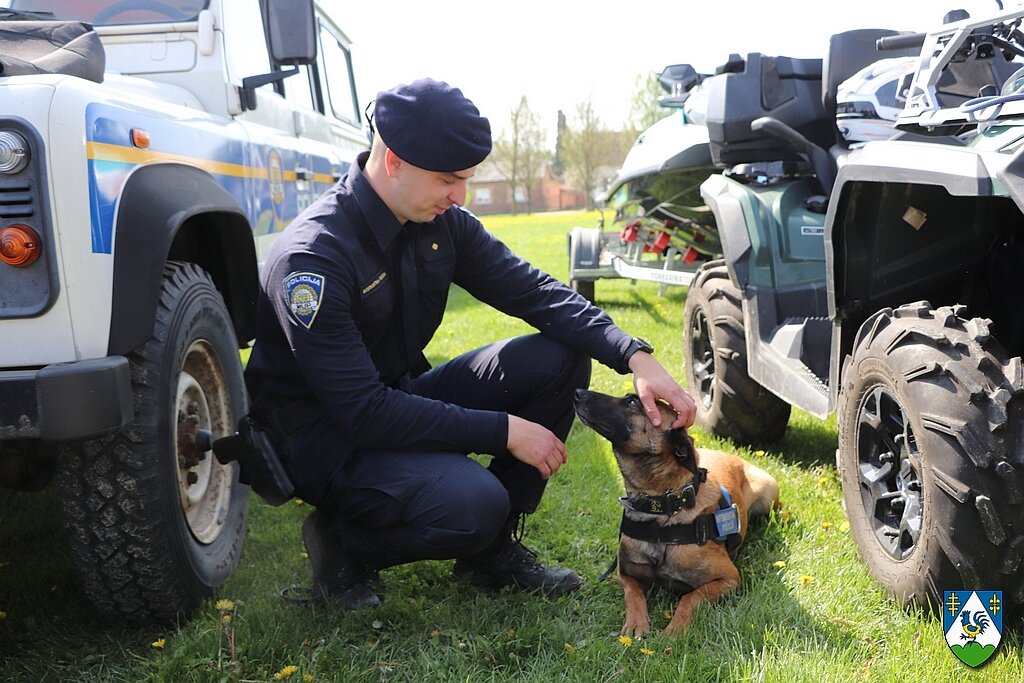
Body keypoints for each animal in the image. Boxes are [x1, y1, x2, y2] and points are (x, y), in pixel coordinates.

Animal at [573, 389, 778, 634]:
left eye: (632, 401)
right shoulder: (625, 574)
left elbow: (689, 598)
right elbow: (634, 594)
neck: (660, 513)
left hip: (768, 496)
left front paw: (674, 631)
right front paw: (636, 623)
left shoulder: (728, 578)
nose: (578, 393)